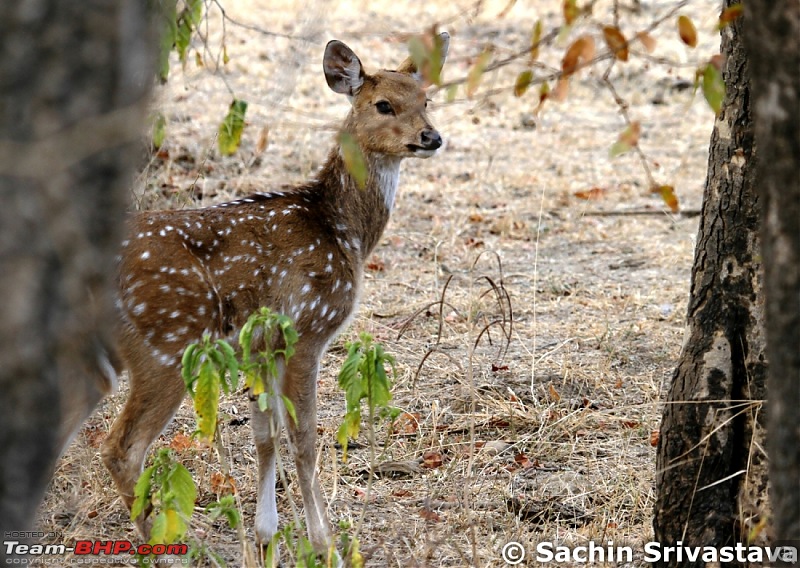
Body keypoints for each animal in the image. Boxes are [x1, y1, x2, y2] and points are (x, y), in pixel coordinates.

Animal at [101, 35, 446, 556]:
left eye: (426, 100)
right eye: (384, 104)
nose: (432, 137)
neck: (341, 230)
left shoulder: (260, 345)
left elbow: (266, 433)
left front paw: (267, 537)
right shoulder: (307, 328)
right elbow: (304, 438)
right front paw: (324, 543)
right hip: (168, 342)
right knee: (122, 448)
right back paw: (180, 551)